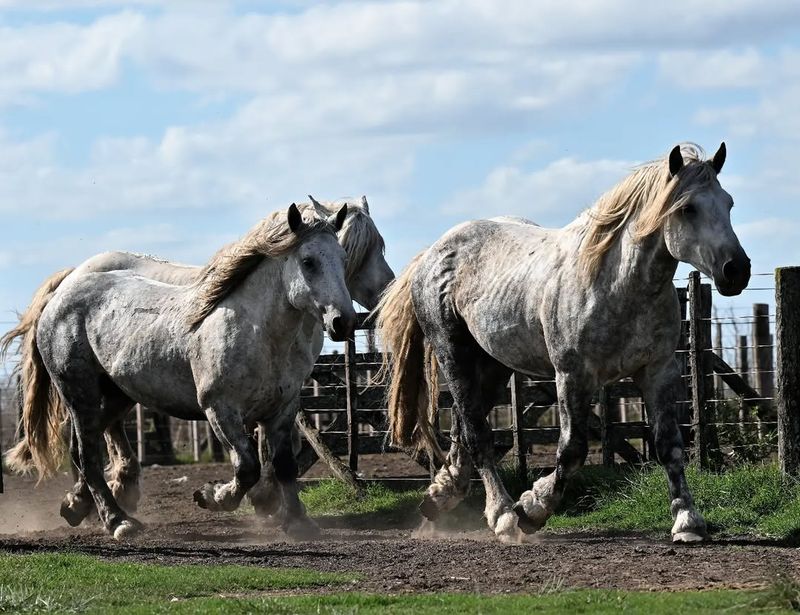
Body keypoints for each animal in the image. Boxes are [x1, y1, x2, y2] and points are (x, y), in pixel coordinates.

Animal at [376, 143, 752, 544]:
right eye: (687, 208)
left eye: (728, 203)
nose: (737, 270)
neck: (615, 284)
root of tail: (433, 252)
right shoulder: (572, 376)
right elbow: (572, 450)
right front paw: (532, 510)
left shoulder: (658, 371)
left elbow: (669, 446)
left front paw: (687, 522)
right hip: (454, 354)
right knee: (477, 434)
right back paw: (502, 515)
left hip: (492, 365)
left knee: (464, 429)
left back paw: (440, 496)